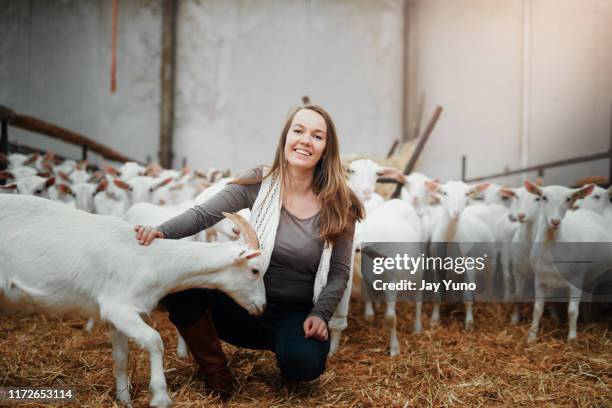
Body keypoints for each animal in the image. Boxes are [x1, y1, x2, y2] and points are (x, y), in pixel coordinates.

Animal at [1, 195, 266, 408]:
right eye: (254, 270)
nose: (262, 306)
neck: (150, 258)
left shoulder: (115, 317)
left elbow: (121, 357)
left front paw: (124, 399)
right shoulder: (119, 307)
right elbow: (155, 340)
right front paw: (160, 396)